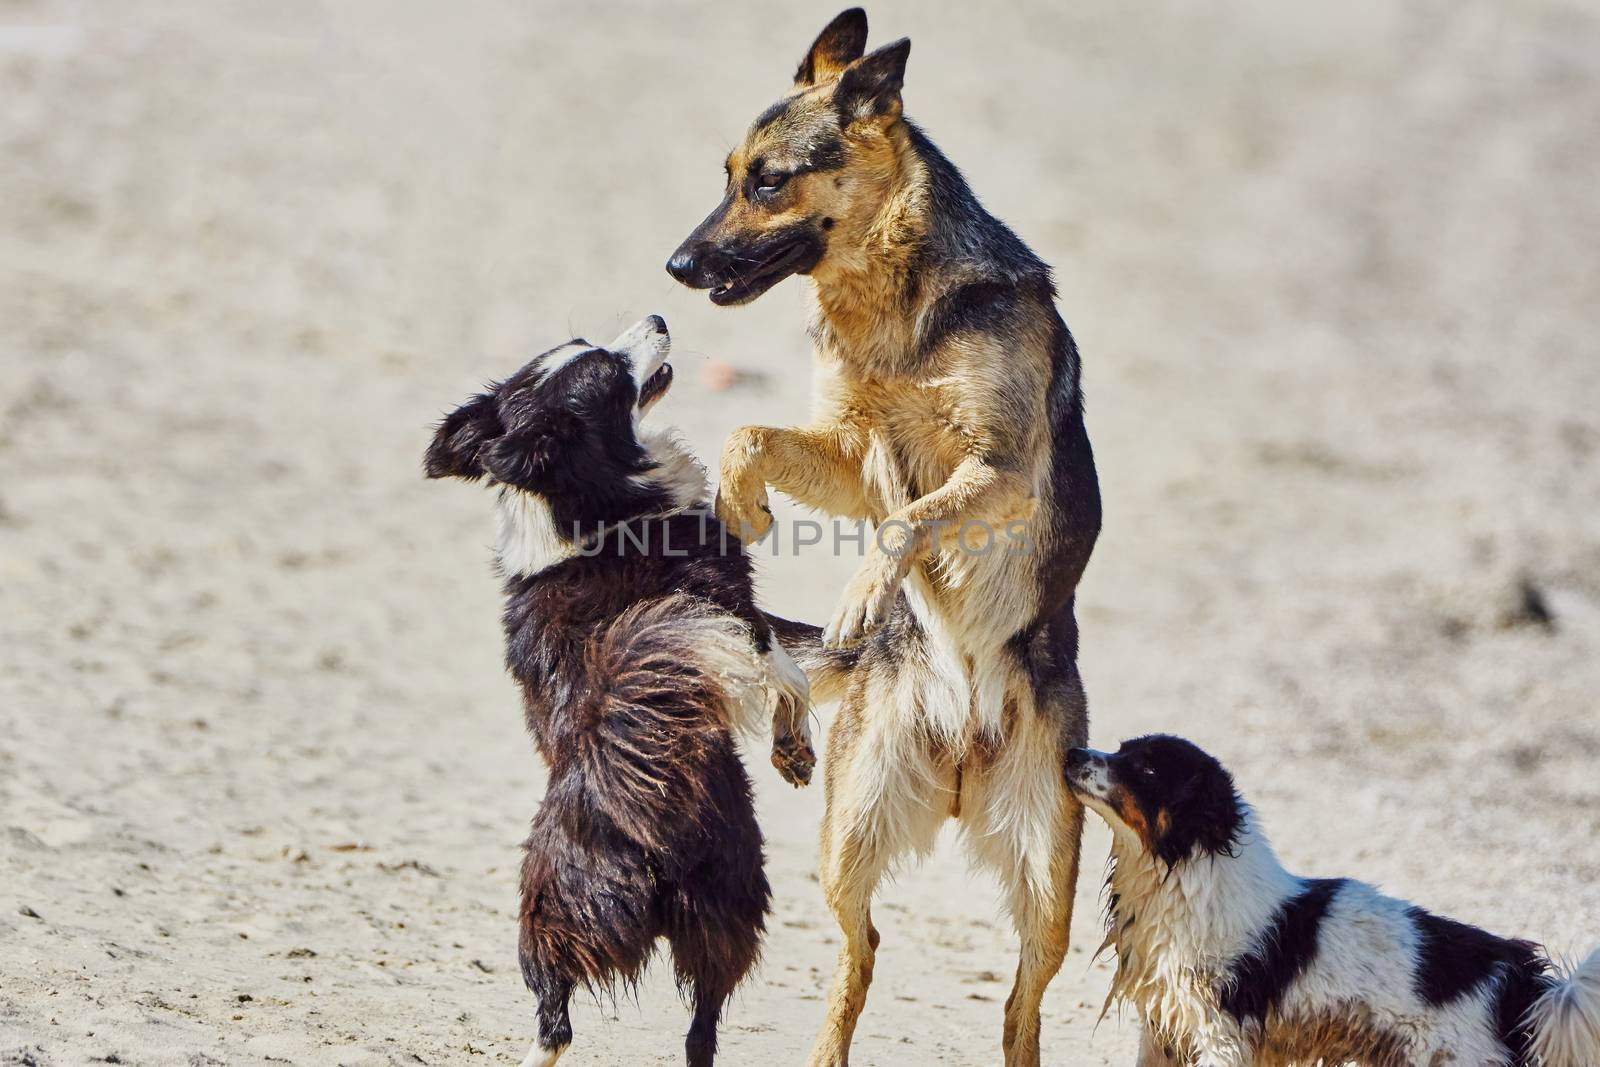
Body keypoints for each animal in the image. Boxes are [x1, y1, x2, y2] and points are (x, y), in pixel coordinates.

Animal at [425, 316, 812, 1067]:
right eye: (608, 370)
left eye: (585, 342)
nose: (658, 318)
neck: (591, 509)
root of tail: (643, 833)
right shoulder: (731, 606)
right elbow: (790, 668)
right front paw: (795, 750)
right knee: (650, 1023)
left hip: (602, 914)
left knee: (588, 1017)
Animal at [665, 8, 1100, 1067]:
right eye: (726, 172)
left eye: (767, 179)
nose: (678, 268)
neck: (889, 300)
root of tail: (960, 755)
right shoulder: (856, 454)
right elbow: (751, 438)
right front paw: (745, 511)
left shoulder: (996, 473)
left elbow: (906, 521)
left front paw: (862, 594)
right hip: (849, 837)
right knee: (859, 957)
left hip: (1047, 882)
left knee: (1020, 1005)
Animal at [1062, 735, 1600, 1067]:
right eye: (1121, 749)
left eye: (1146, 768)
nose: (1070, 752)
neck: (1187, 877)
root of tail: (1524, 982)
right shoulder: (1167, 1026)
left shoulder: (1222, 1035)